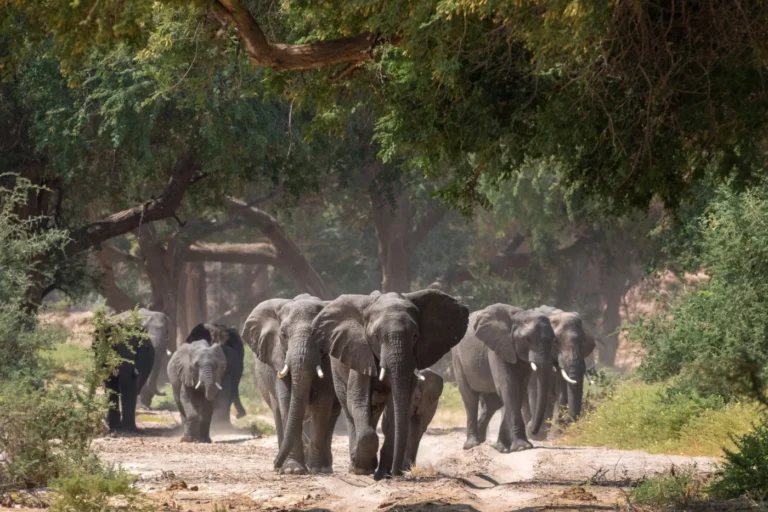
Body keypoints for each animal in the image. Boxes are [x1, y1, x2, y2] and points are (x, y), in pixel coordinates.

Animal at [242, 294, 340, 475]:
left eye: (319, 335)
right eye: (283, 334)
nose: (274, 464)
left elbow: (321, 405)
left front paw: (315, 468)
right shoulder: (278, 357)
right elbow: (287, 402)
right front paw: (293, 470)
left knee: (332, 415)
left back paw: (325, 467)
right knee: (278, 412)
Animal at [312, 289, 469, 479]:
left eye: (415, 336)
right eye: (376, 337)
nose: (396, 473)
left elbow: (396, 408)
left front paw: (382, 472)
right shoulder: (360, 352)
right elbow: (358, 400)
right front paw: (363, 468)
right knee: (349, 410)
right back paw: (356, 466)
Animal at [451, 304, 554, 453]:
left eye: (554, 339)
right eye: (528, 339)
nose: (532, 430)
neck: (520, 315)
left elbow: (518, 391)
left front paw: (503, 448)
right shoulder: (498, 347)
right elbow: (509, 388)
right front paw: (522, 447)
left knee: (493, 402)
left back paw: (483, 439)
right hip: (457, 359)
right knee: (470, 398)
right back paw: (472, 445)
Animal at [521, 305, 596, 439]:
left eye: (583, 342)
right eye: (555, 342)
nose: (568, 422)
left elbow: (562, 392)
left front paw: (553, 437)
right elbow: (534, 390)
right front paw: (536, 435)